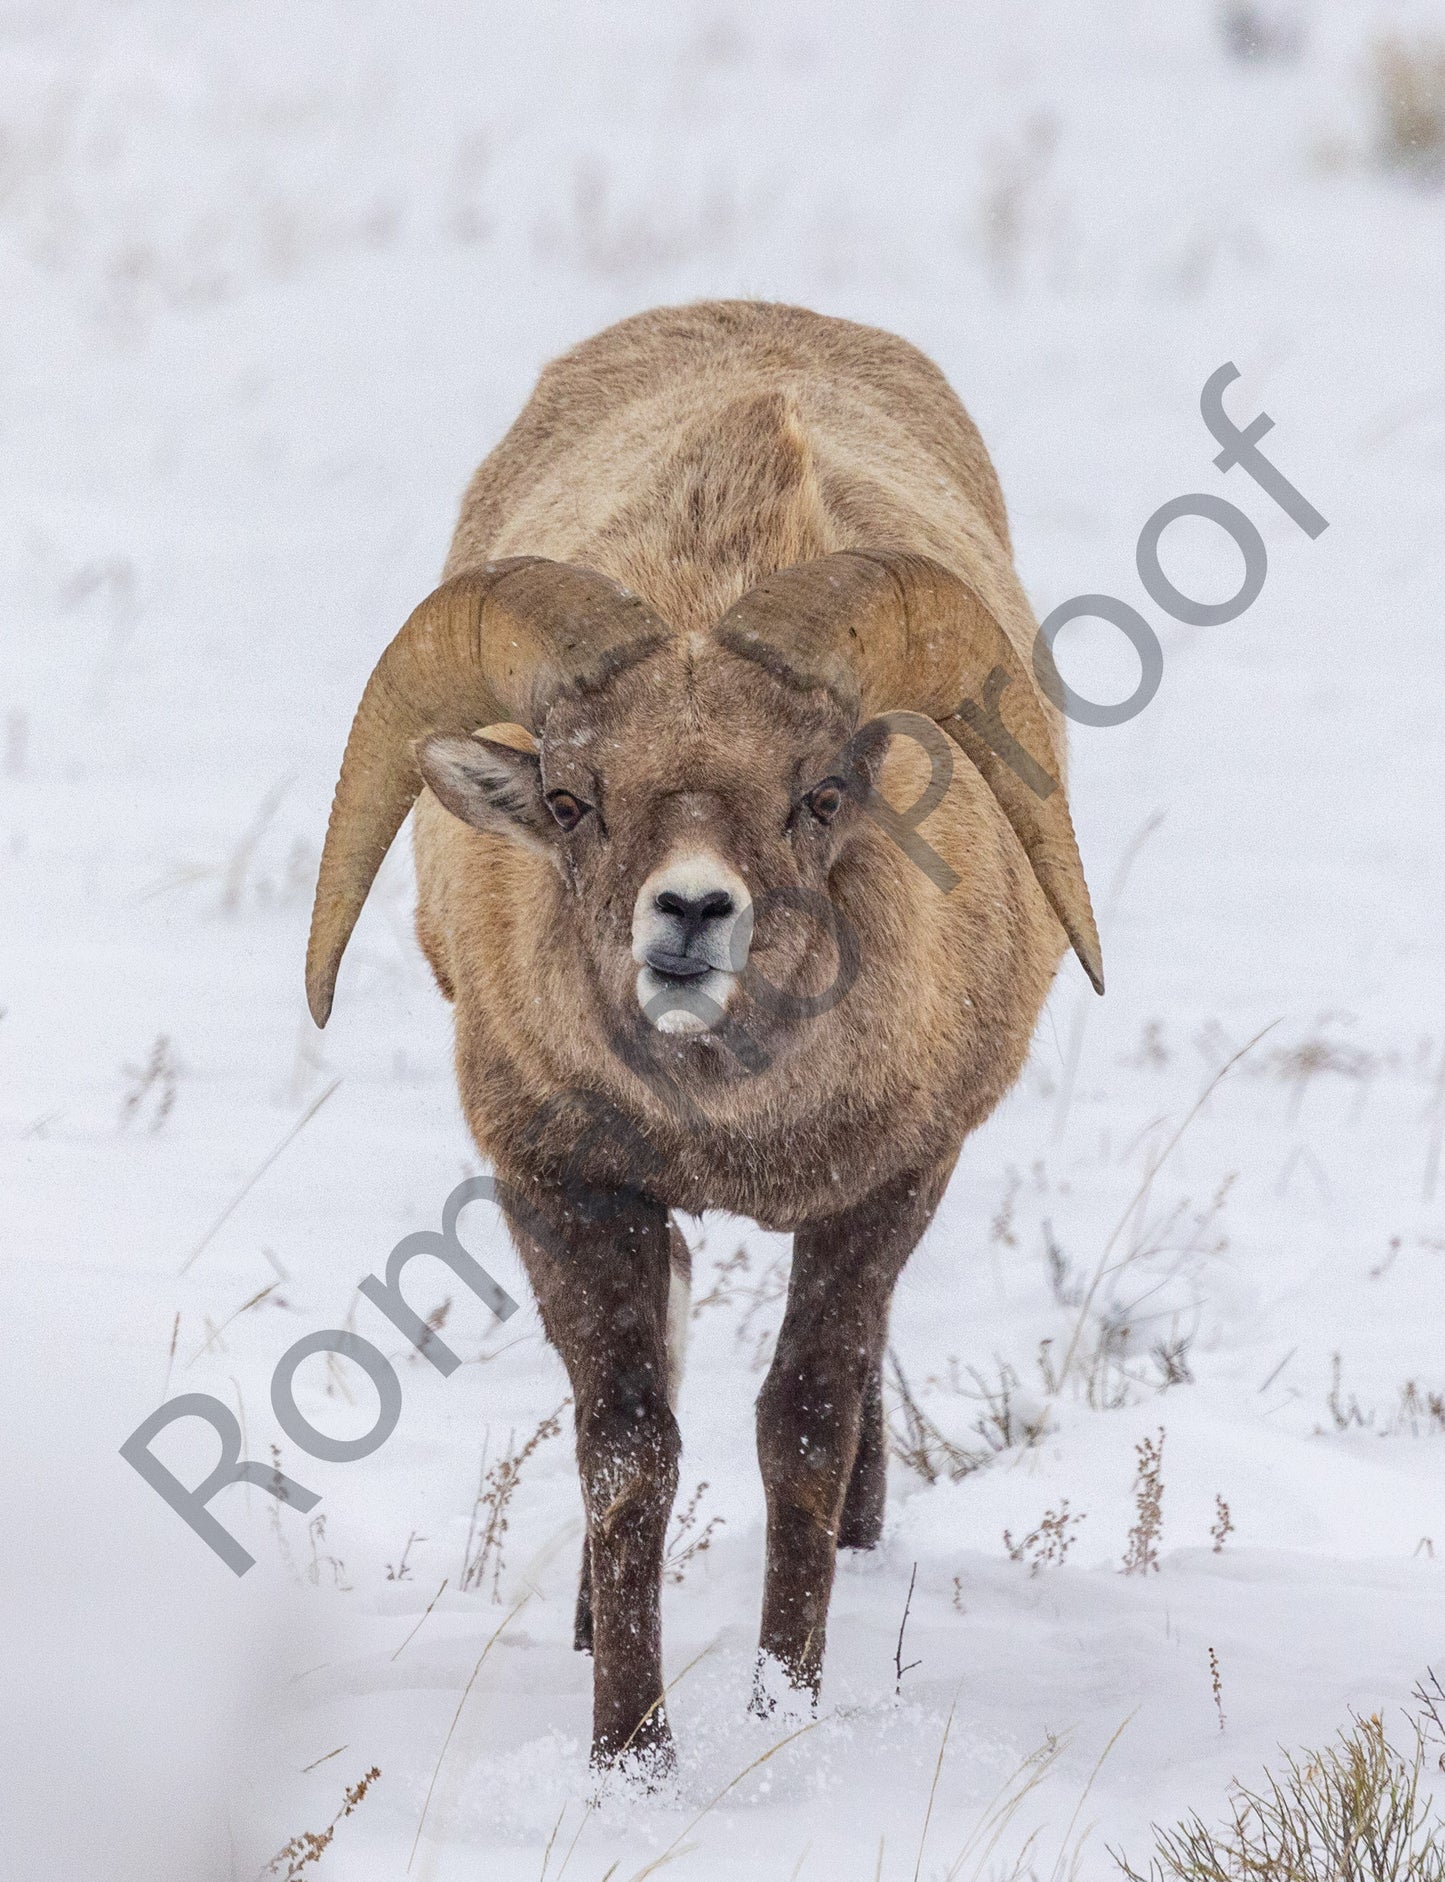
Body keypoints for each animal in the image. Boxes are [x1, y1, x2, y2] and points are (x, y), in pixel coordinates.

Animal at [305, 300, 1102, 1775]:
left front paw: (784, 1704)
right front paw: (632, 1750)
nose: (688, 915)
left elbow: (802, 1428)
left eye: (820, 793)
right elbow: (628, 1450)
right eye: (571, 800)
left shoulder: (884, 1189)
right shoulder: (564, 1186)